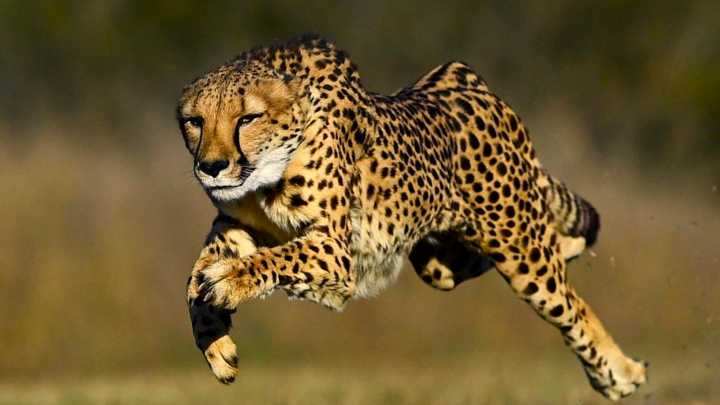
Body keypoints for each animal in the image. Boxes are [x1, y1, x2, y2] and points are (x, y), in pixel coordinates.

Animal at [177, 34, 647, 400]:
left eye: (248, 118)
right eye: (194, 121)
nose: (211, 167)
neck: (265, 174)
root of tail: (467, 80)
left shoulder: (335, 250)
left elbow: (269, 260)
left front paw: (230, 281)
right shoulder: (234, 225)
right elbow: (194, 279)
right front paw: (215, 342)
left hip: (520, 251)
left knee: (571, 305)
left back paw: (620, 374)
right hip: (436, 261)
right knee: (495, 259)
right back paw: (571, 247)